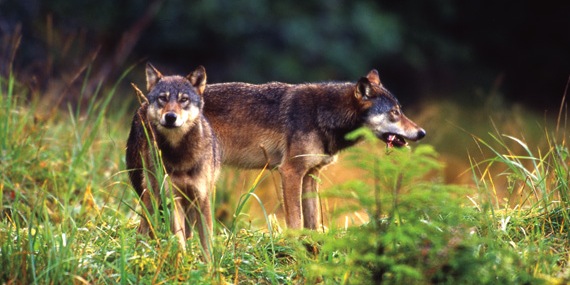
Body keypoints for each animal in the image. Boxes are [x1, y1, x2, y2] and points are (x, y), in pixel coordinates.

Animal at [125, 62, 219, 255]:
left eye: (184, 99)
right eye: (163, 98)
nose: (170, 117)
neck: (181, 156)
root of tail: (142, 105)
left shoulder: (202, 199)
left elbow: (206, 244)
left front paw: (207, 264)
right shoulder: (174, 197)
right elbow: (179, 236)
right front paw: (182, 258)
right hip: (151, 193)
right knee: (144, 227)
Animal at [202, 70, 424, 230]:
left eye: (400, 110)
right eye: (394, 112)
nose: (422, 132)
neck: (322, 114)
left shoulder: (311, 174)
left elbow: (313, 221)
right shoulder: (290, 172)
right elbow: (296, 220)